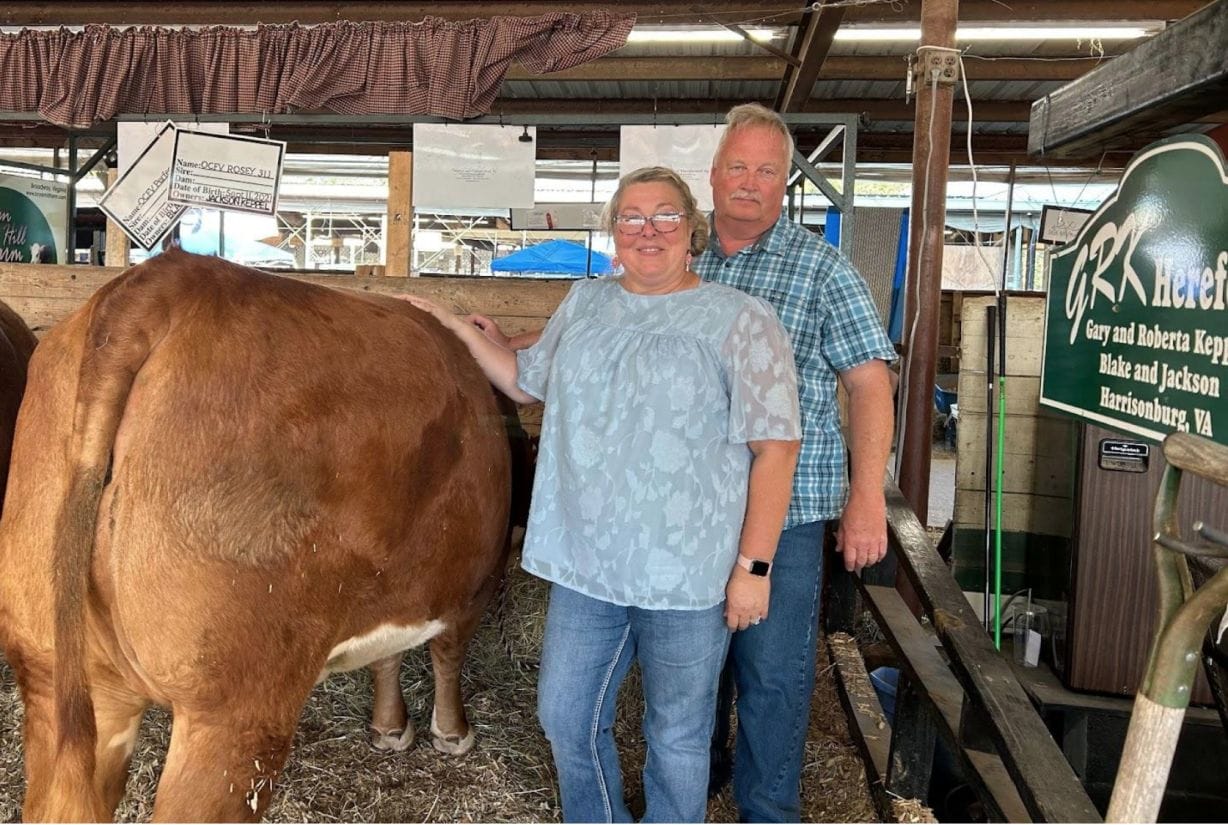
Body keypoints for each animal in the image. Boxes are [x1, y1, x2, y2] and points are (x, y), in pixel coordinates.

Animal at [0, 247, 508, 820]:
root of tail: (167, 280)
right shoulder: (472, 581)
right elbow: (447, 650)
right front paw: (451, 733)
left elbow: (391, 652)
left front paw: (389, 727)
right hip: (232, 714)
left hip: (52, 669)